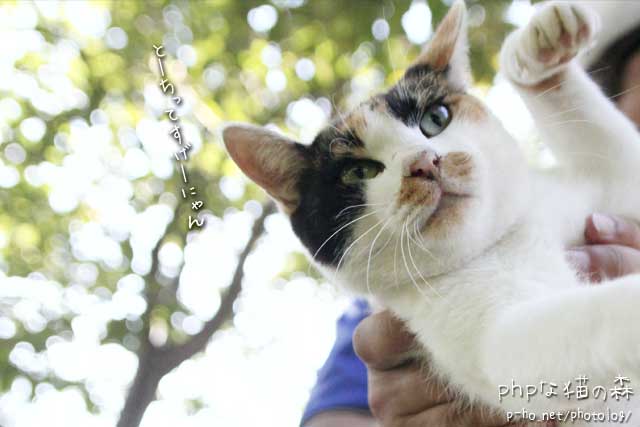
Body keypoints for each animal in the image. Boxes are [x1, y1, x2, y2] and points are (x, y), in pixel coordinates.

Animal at [223, 1, 640, 424]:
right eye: (359, 172)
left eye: (436, 119)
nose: (424, 162)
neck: (502, 239)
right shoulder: (489, 339)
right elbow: (581, 325)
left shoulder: (614, 192)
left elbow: (618, 157)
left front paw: (538, 47)